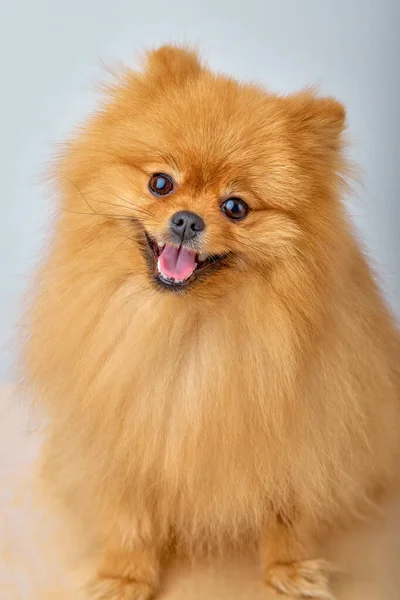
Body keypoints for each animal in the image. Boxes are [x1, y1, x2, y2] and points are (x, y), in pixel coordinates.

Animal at [22, 47, 400, 600]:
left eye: (235, 207)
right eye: (161, 183)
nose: (186, 219)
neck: (186, 326)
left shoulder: (299, 427)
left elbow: (287, 507)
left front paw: (289, 569)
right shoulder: (125, 427)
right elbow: (129, 513)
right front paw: (126, 575)